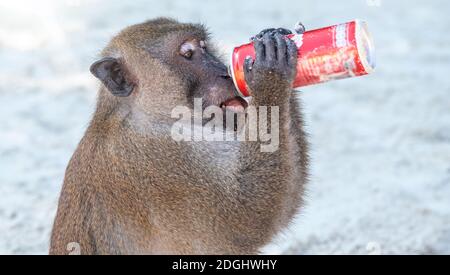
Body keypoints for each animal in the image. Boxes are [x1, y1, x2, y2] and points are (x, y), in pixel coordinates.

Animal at [50, 17, 310, 256]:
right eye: (187, 54)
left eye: (204, 47)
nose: (225, 73)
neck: (152, 116)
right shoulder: (160, 165)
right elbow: (249, 220)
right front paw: (270, 70)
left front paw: (274, 36)